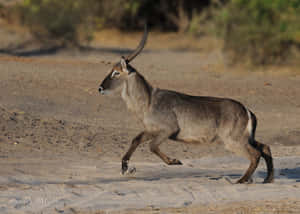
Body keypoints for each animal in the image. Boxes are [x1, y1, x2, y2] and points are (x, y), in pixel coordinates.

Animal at [98, 25, 274, 182]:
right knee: (264, 147)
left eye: (116, 73)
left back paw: (242, 180)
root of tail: (247, 110)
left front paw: (174, 161)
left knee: (256, 154)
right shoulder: (151, 130)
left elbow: (152, 146)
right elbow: (136, 139)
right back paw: (267, 179)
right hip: (245, 138)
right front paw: (125, 168)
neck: (149, 101)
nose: (100, 88)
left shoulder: (168, 130)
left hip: (233, 141)